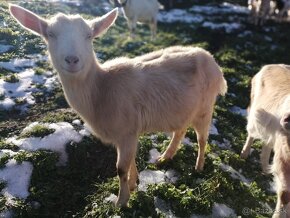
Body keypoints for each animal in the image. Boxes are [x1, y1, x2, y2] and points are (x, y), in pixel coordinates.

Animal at [8, 4, 227, 206]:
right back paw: (165, 157)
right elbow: (129, 163)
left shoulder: (127, 130)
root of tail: (212, 60)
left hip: (205, 107)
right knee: (180, 130)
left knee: (202, 139)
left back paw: (198, 167)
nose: (72, 60)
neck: (101, 88)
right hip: (183, 108)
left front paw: (121, 201)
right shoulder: (125, 134)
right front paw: (133, 184)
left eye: (89, 35)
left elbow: (121, 168)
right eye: (50, 34)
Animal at [241, 64, 290, 218]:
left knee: (267, 143)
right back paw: (244, 154)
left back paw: (265, 169)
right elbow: (285, 196)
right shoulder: (284, 163)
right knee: (251, 132)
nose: (286, 120)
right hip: (254, 110)